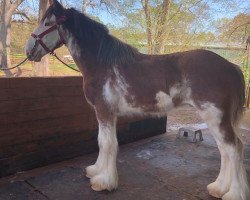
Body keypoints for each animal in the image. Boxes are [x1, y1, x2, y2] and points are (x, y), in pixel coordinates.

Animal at [24, 0, 248, 199]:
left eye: (47, 23)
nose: (29, 49)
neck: (102, 63)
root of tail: (232, 67)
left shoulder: (104, 111)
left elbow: (107, 144)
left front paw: (104, 182)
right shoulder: (106, 114)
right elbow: (103, 141)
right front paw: (96, 171)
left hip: (214, 117)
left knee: (233, 149)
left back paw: (233, 194)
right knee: (226, 150)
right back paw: (219, 188)